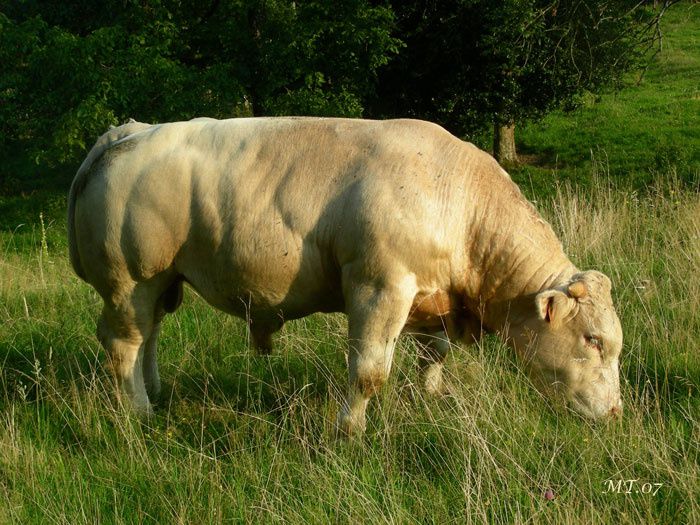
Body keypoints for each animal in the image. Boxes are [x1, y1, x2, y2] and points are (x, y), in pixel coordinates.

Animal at [67, 118, 624, 434]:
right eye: (593, 340)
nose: (616, 413)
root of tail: (128, 133)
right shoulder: (380, 288)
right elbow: (369, 371)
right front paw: (349, 431)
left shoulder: (434, 299)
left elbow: (434, 355)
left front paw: (430, 397)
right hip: (129, 279)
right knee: (123, 345)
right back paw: (140, 412)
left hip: (160, 282)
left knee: (149, 336)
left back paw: (156, 391)